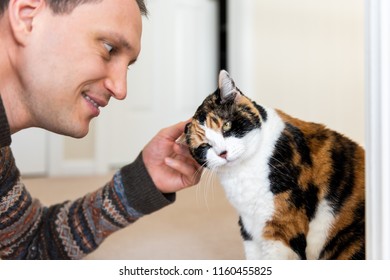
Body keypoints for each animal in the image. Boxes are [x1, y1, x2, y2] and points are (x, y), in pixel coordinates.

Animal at [183, 70, 366, 260]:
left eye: (226, 125)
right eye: (204, 146)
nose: (222, 153)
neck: (244, 172)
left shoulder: (281, 226)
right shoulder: (250, 228)